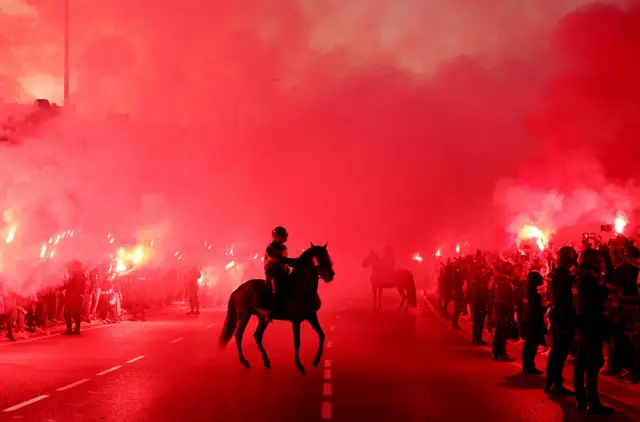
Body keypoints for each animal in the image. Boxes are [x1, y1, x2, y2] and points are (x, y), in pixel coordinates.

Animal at [219, 244, 332, 372]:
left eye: (328, 256)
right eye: (319, 258)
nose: (331, 275)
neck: (302, 288)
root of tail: (237, 290)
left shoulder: (311, 316)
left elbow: (322, 335)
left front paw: (316, 360)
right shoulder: (296, 320)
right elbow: (297, 342)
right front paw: (299, 364)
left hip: (262, 318)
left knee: (257, 335)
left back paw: (266, 361)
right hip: (244, 315)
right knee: (239, 335)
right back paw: (244, 362)